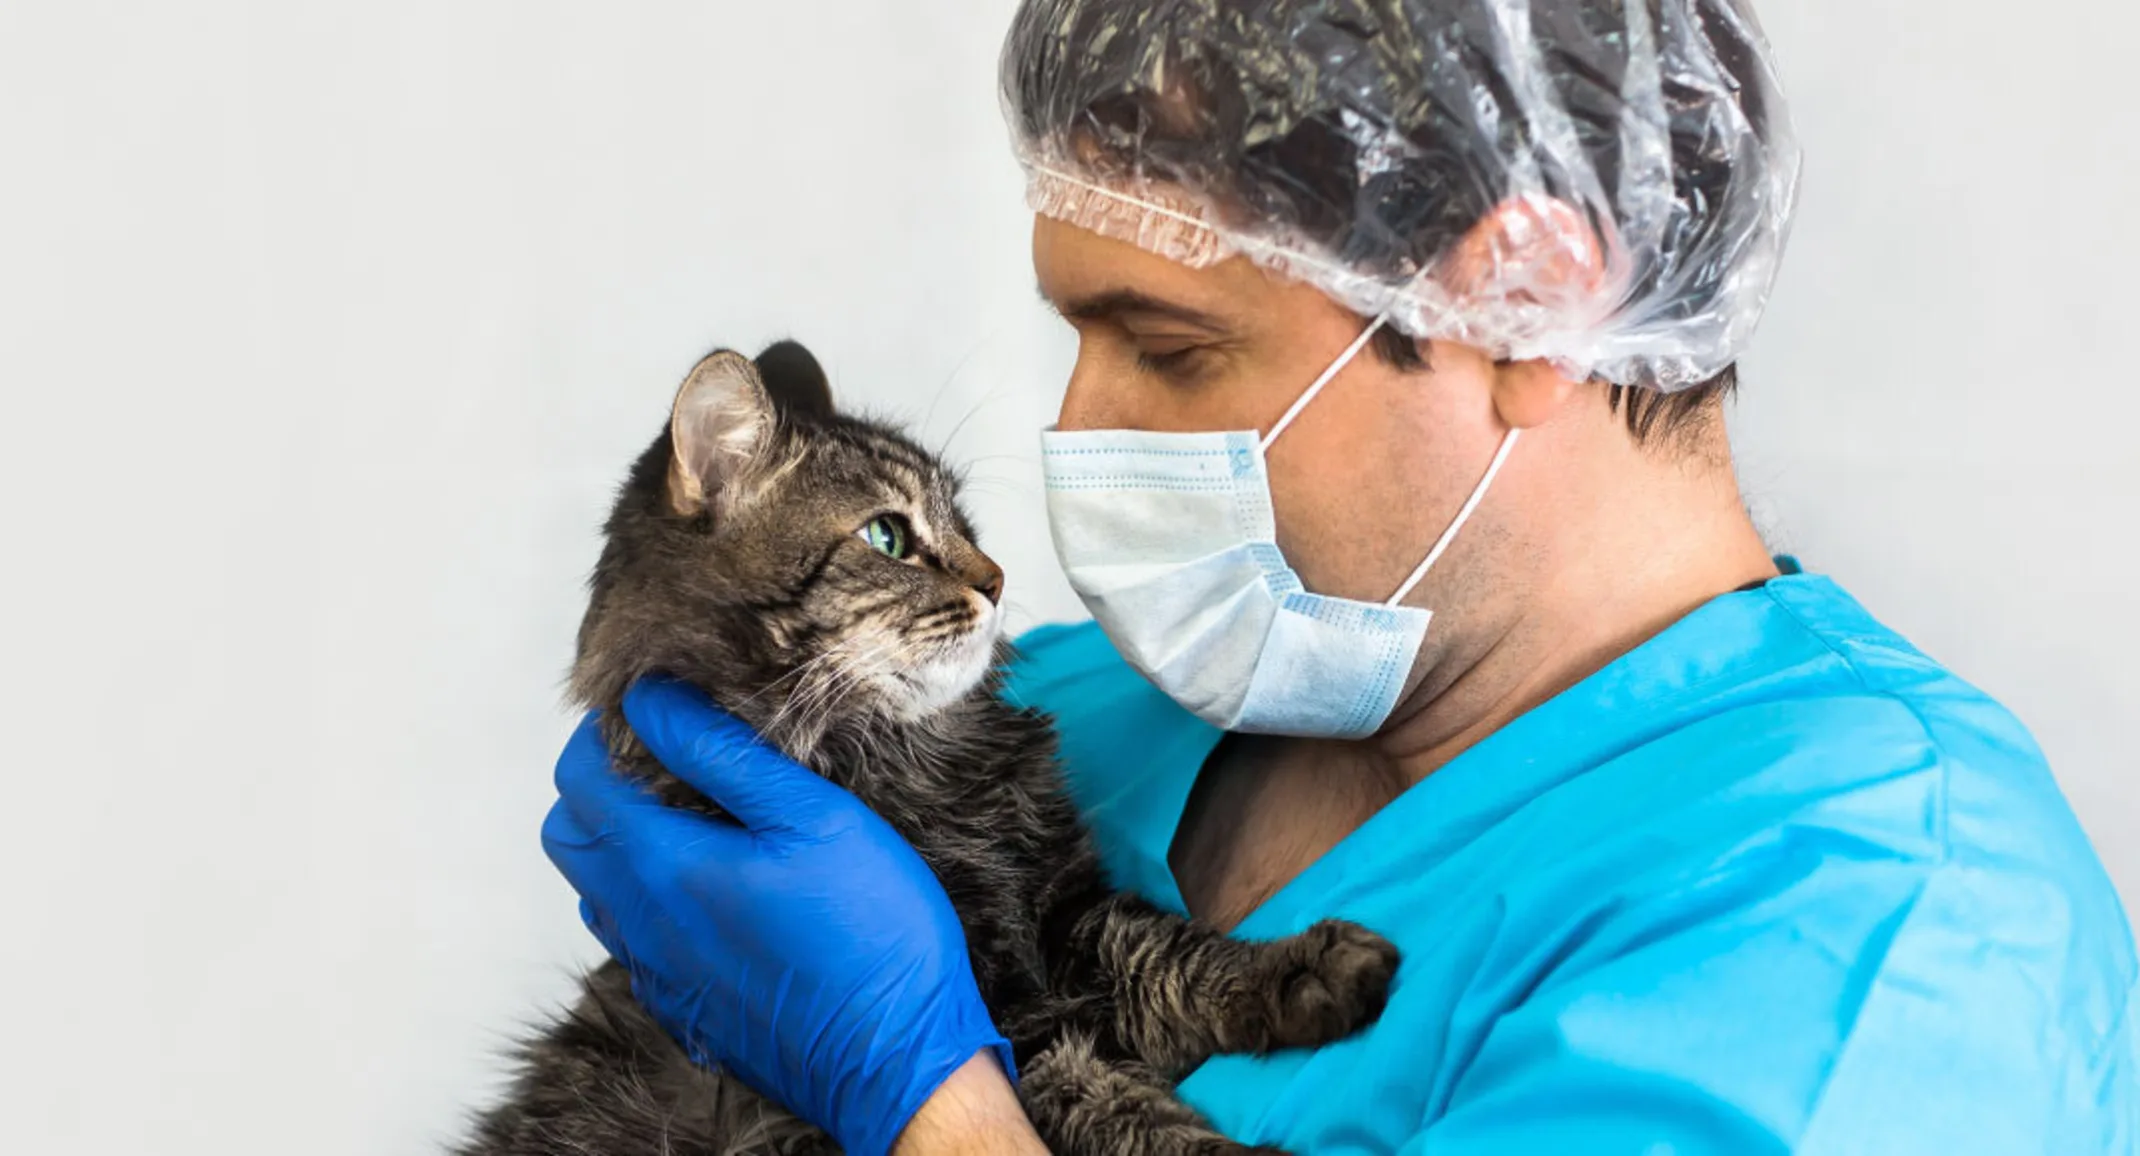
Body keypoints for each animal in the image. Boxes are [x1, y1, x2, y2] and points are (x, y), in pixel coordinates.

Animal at [462, 342, 1403, 1156]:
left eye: (965, 522)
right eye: (886, 537)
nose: (996, 580)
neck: (917, 765)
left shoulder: (1064, 917)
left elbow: (1176, 956)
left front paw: (1301, 969)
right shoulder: (1004, 1027)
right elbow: (1108, 1103)